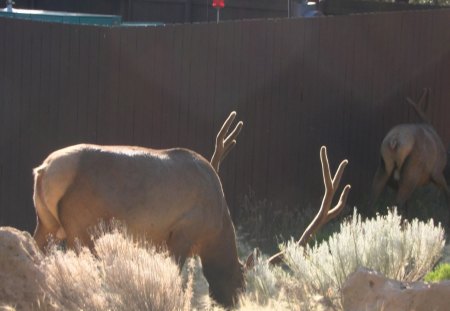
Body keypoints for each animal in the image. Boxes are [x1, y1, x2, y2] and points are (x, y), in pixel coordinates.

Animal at [32, 111, 243, 308]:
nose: (233, 304)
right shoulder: (184, 231)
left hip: (47, 224)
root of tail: (44, 170)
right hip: (80, 225)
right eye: (240, 283)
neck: (216, 228)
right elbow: (175, 275)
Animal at [370, 89, 450, 218]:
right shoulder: (437, 172)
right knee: (398, 203)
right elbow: (447, 193)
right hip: (411, 171)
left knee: (372, 199)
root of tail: (394, 141)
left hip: (383, 168)